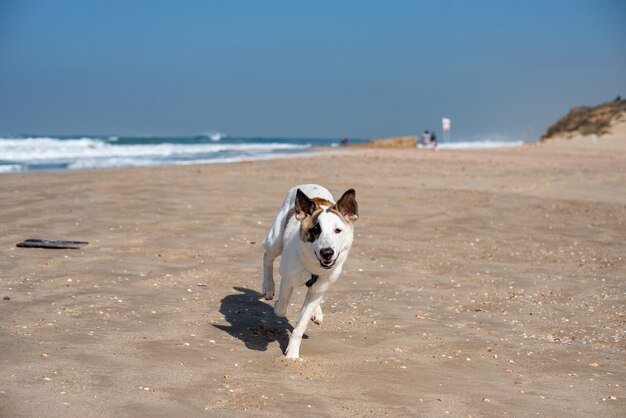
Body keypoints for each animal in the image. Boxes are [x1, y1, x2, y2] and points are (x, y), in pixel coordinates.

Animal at [260, 185, 356, 358]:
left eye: (338, 230)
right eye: (316, 230)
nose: (327, 252)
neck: (313, 266)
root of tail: (310, 184)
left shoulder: (320, 286)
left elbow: (301, 325)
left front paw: (292, 354)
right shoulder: (287, 279)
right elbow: (281, 308)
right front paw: (277, 304)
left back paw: (316, 313)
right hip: (275, 241)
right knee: (267, 257)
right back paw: (268, 287)